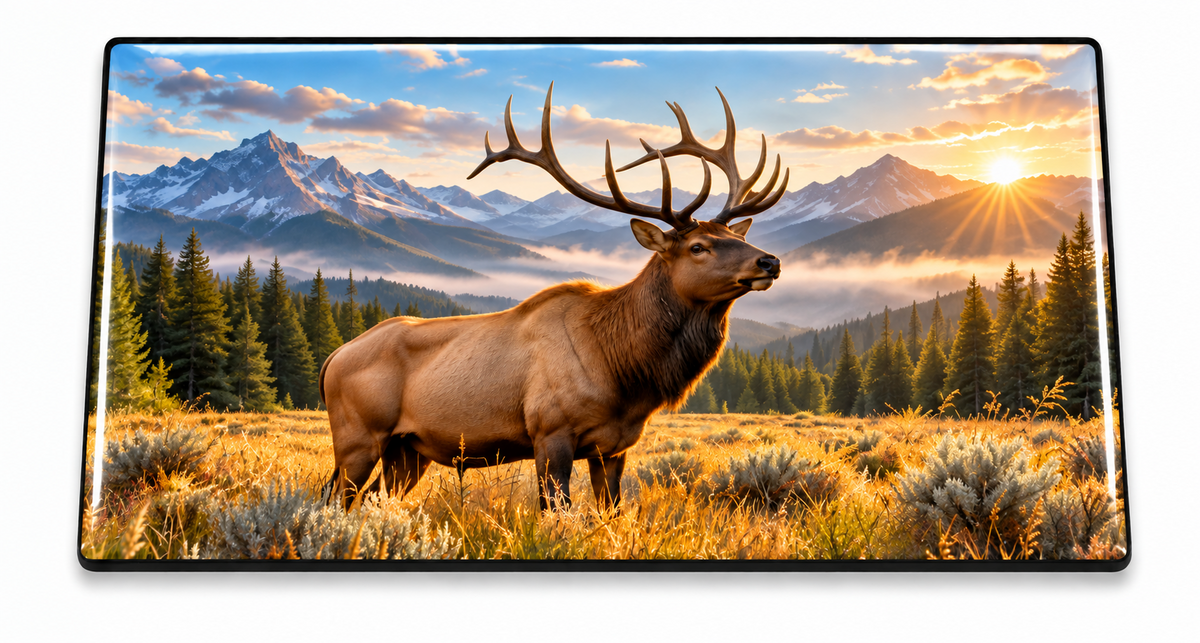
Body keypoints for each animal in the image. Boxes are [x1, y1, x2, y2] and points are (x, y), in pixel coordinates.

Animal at [320, 82, 788, 511]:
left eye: (734, 236)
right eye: (698, 247)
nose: (769, 261)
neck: (626, 372)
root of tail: (333, 357)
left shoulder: (614, 447)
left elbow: (610, 512)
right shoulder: (550, 432)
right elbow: (555, 511)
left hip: (408, 449)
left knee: (374, 499)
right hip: (358, 437)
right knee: (336, 498)